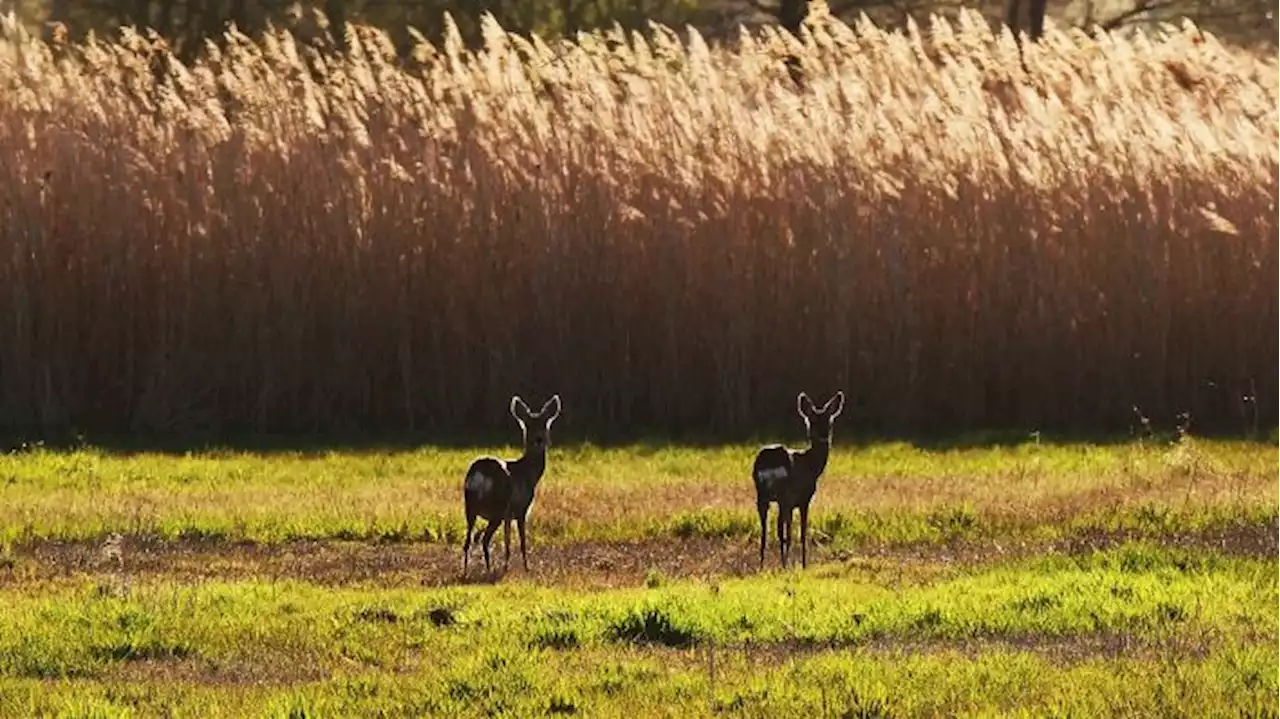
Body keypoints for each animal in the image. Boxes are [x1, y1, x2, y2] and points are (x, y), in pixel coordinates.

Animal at [460, 394, 560, 573]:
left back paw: (467, 572)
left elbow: (507, 541)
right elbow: (521, 541)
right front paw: (526, 568)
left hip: (470, 506)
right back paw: (489, 569)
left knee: (468, 541)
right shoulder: (521, 509)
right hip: (497, 507)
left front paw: (507, 565)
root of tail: (480, 473)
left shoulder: (508, 514)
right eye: (528, 425)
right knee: (484, 539)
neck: (529, 473)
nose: (539, 439)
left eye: (544, 424)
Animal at [747, 388, 844, 568]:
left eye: (829, 421)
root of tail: (768, 461)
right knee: (780, 530)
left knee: (765, 532)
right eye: (812, 421)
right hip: (784, 495)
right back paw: (784, 565)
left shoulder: (792, 502)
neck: (812, 465)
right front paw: (804, 565)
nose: (824, 435)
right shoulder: (803, 499)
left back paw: (762, 565)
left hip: (762, 495)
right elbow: (801, 534)